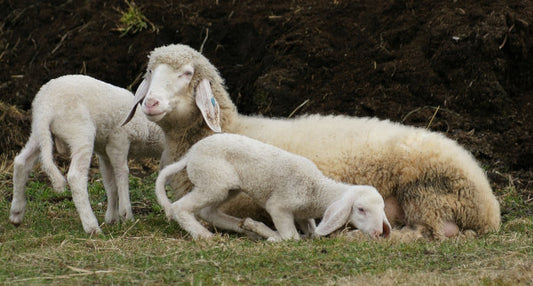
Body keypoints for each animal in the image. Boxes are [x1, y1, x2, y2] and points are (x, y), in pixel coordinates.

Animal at [9, 74, 164, 235]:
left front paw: (112, 218)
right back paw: (91, 226)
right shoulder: (118, 140)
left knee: (21, 162)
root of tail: (45, 107)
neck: (147, 128)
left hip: (39, 133)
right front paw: (126, 215)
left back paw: (16, 213)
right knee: (75, 176)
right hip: (80, 131)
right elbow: (122, 174)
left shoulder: (104, 153)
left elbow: (110, 183)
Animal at [154, 133, 390, 240]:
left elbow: (311, 233)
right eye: (361, 209)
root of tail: (190, 154)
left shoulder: (304, 215)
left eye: (382, 209)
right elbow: (291, 237)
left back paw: (241, 227)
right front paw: (267, 233)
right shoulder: (279, 206)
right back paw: (205, 236)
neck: (316, 190)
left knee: (208, 212)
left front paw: (255, 228)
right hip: (213, 181)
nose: (378, 232)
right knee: (179, 207)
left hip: (224, 186)